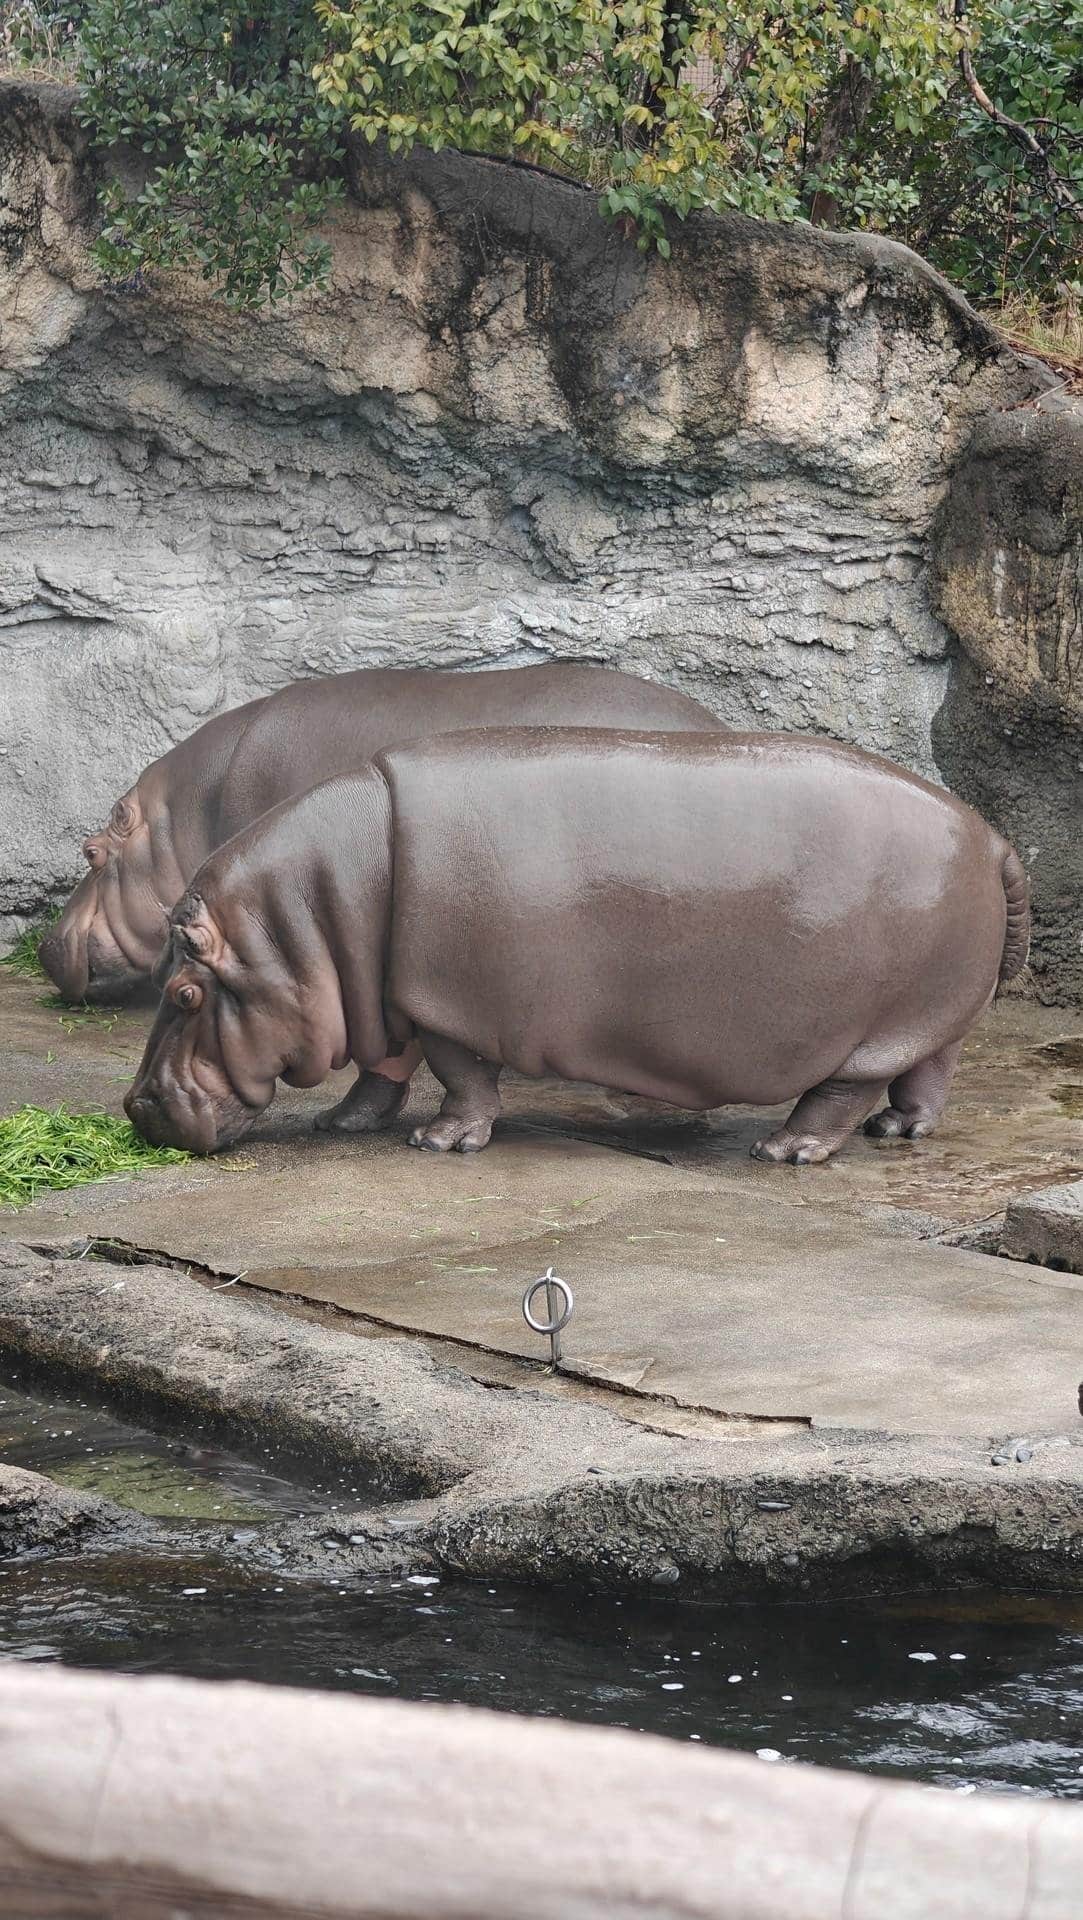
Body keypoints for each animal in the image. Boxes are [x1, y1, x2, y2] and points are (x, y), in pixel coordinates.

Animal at [126, 728, 1029, 1166]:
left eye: (182, 993)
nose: (134, 1107)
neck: (312, 915)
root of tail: (990, 838)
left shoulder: (443, 998)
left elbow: (458, 1073)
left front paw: (438, 1143)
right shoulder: (383, 994)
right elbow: (384, 1061)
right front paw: (344, 1122)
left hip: (875, 1024)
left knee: (843, 1088)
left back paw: (786, 1149)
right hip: (929, 1014)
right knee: (928, 1070)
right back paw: (898, 1133)